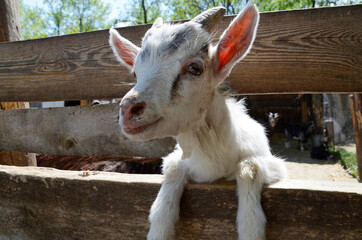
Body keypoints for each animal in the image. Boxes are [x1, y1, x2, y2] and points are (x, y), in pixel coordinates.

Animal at [109, 2, 288, 240]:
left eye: (195, 68)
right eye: (136, 73)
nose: (128, 109)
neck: (213, 163)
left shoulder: (273, 163)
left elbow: (249, 169)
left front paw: (251, 228)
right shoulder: (180, 158)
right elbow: (169, 179)